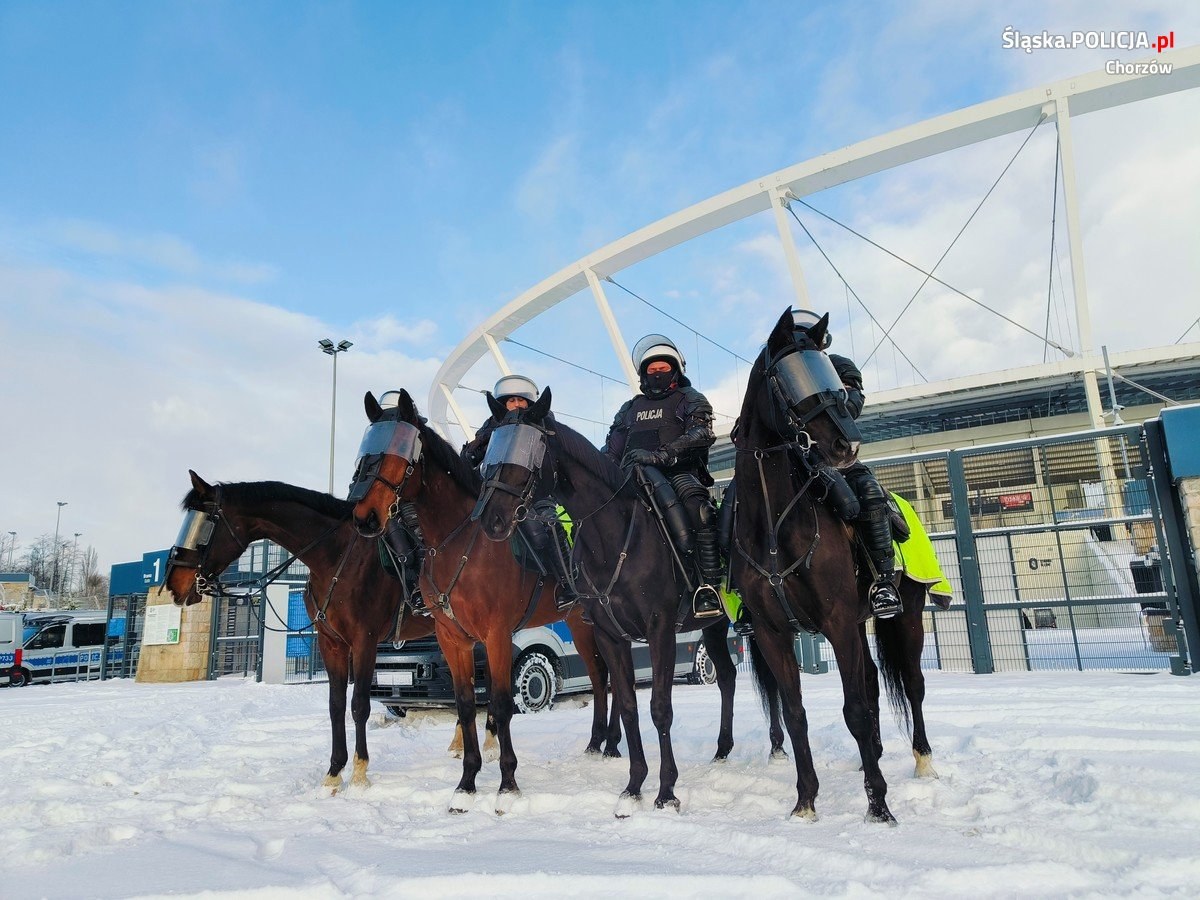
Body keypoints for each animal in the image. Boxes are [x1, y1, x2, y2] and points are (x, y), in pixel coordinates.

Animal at [164, 475, 434, 792]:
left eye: (204, 524)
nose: (173, 584)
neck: (337, 556)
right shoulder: (331, 644)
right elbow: (335, 705)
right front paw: (334, 772)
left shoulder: (364, 641)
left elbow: (359, 705)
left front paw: (359, 772)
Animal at [350, 388, 619, 816]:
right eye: (366, 450)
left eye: (400, 453)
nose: (363, 515)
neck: (458, 542)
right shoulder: (453, 639)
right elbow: (464, 706)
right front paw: (467, 783)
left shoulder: (497, 636)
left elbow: (502, 703)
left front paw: (507, 784)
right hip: (580, 624)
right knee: (598, 677)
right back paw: (598, 743)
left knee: (605, 678)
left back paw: (609, 745)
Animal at [472, 386, 744, 816]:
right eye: (491, 449)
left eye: (530, 452)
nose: (491, 519)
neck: (614, 535)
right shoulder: (610, 636)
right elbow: (629, 705)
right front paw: (633, 787)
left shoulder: (660, 630)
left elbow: (660, 708)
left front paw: (667, 792)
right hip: (713, 628)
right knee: (730, 677)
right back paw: (722, 749)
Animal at [724, 309, 931, 825]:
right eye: (789, 377)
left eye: (833, 379)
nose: (847, 445)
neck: (775, 520)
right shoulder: (774, 633)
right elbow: (796, 713)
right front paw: (805, 800)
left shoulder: (836, 623)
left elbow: (853, 709)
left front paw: (878, 804)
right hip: (860, 624)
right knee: (875, 685)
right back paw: (873, 754)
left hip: (905, 619)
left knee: (912, 685)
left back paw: (923, 761)